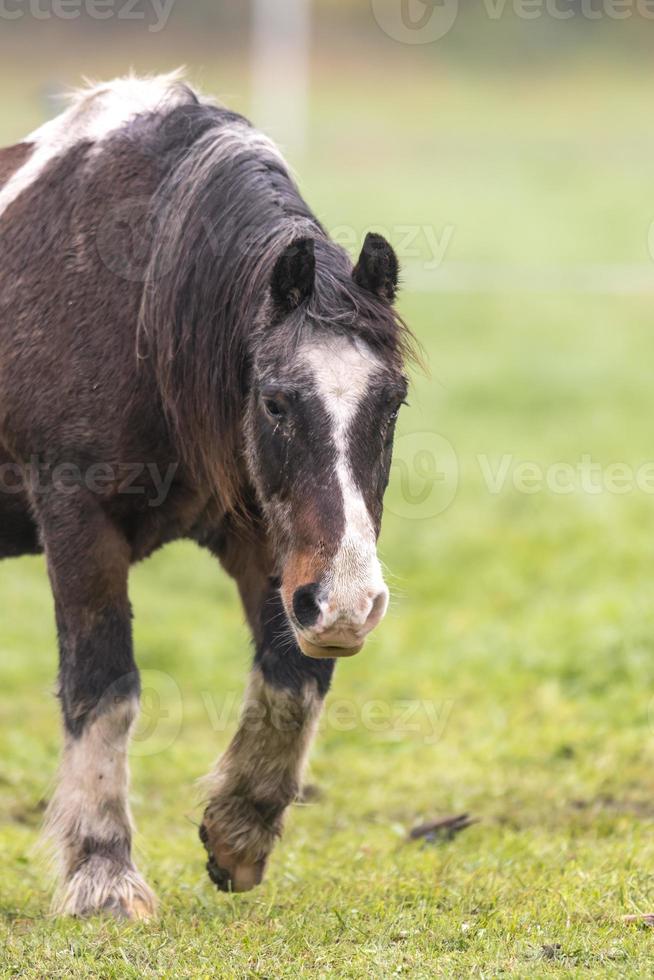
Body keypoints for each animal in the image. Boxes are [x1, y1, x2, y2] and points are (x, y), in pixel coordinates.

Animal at [1, 71, 416, 920]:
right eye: (277, 403)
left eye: (392, 403)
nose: (352, 606)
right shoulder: (77, 518)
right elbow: (104, 687)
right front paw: (102, 876)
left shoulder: (265, 538)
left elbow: (294, 677)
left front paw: (239, 829)